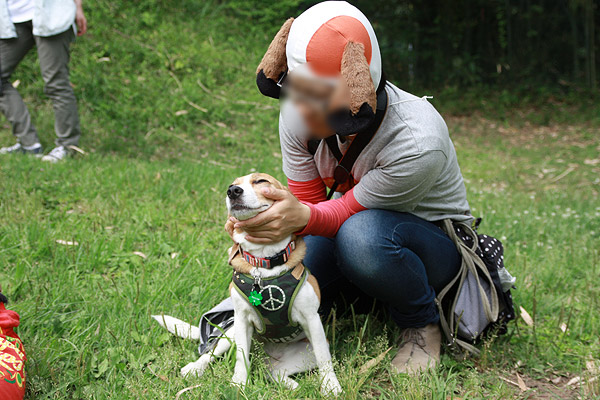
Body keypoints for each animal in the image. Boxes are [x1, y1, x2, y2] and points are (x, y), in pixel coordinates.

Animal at [154, 173, 342, 396]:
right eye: (232, 185)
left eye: (261, 181)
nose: (233, 191)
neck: (264, 263)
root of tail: (268, 355)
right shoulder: (242, 320)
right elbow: (240, 358)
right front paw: (238, 385)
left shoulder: (312, 321)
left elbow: (324, 359)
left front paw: (331, 386)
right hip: (230, 333)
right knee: (211, 354)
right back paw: (195, 368)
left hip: (306, 352)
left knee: (274, 372)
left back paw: (291, 385)